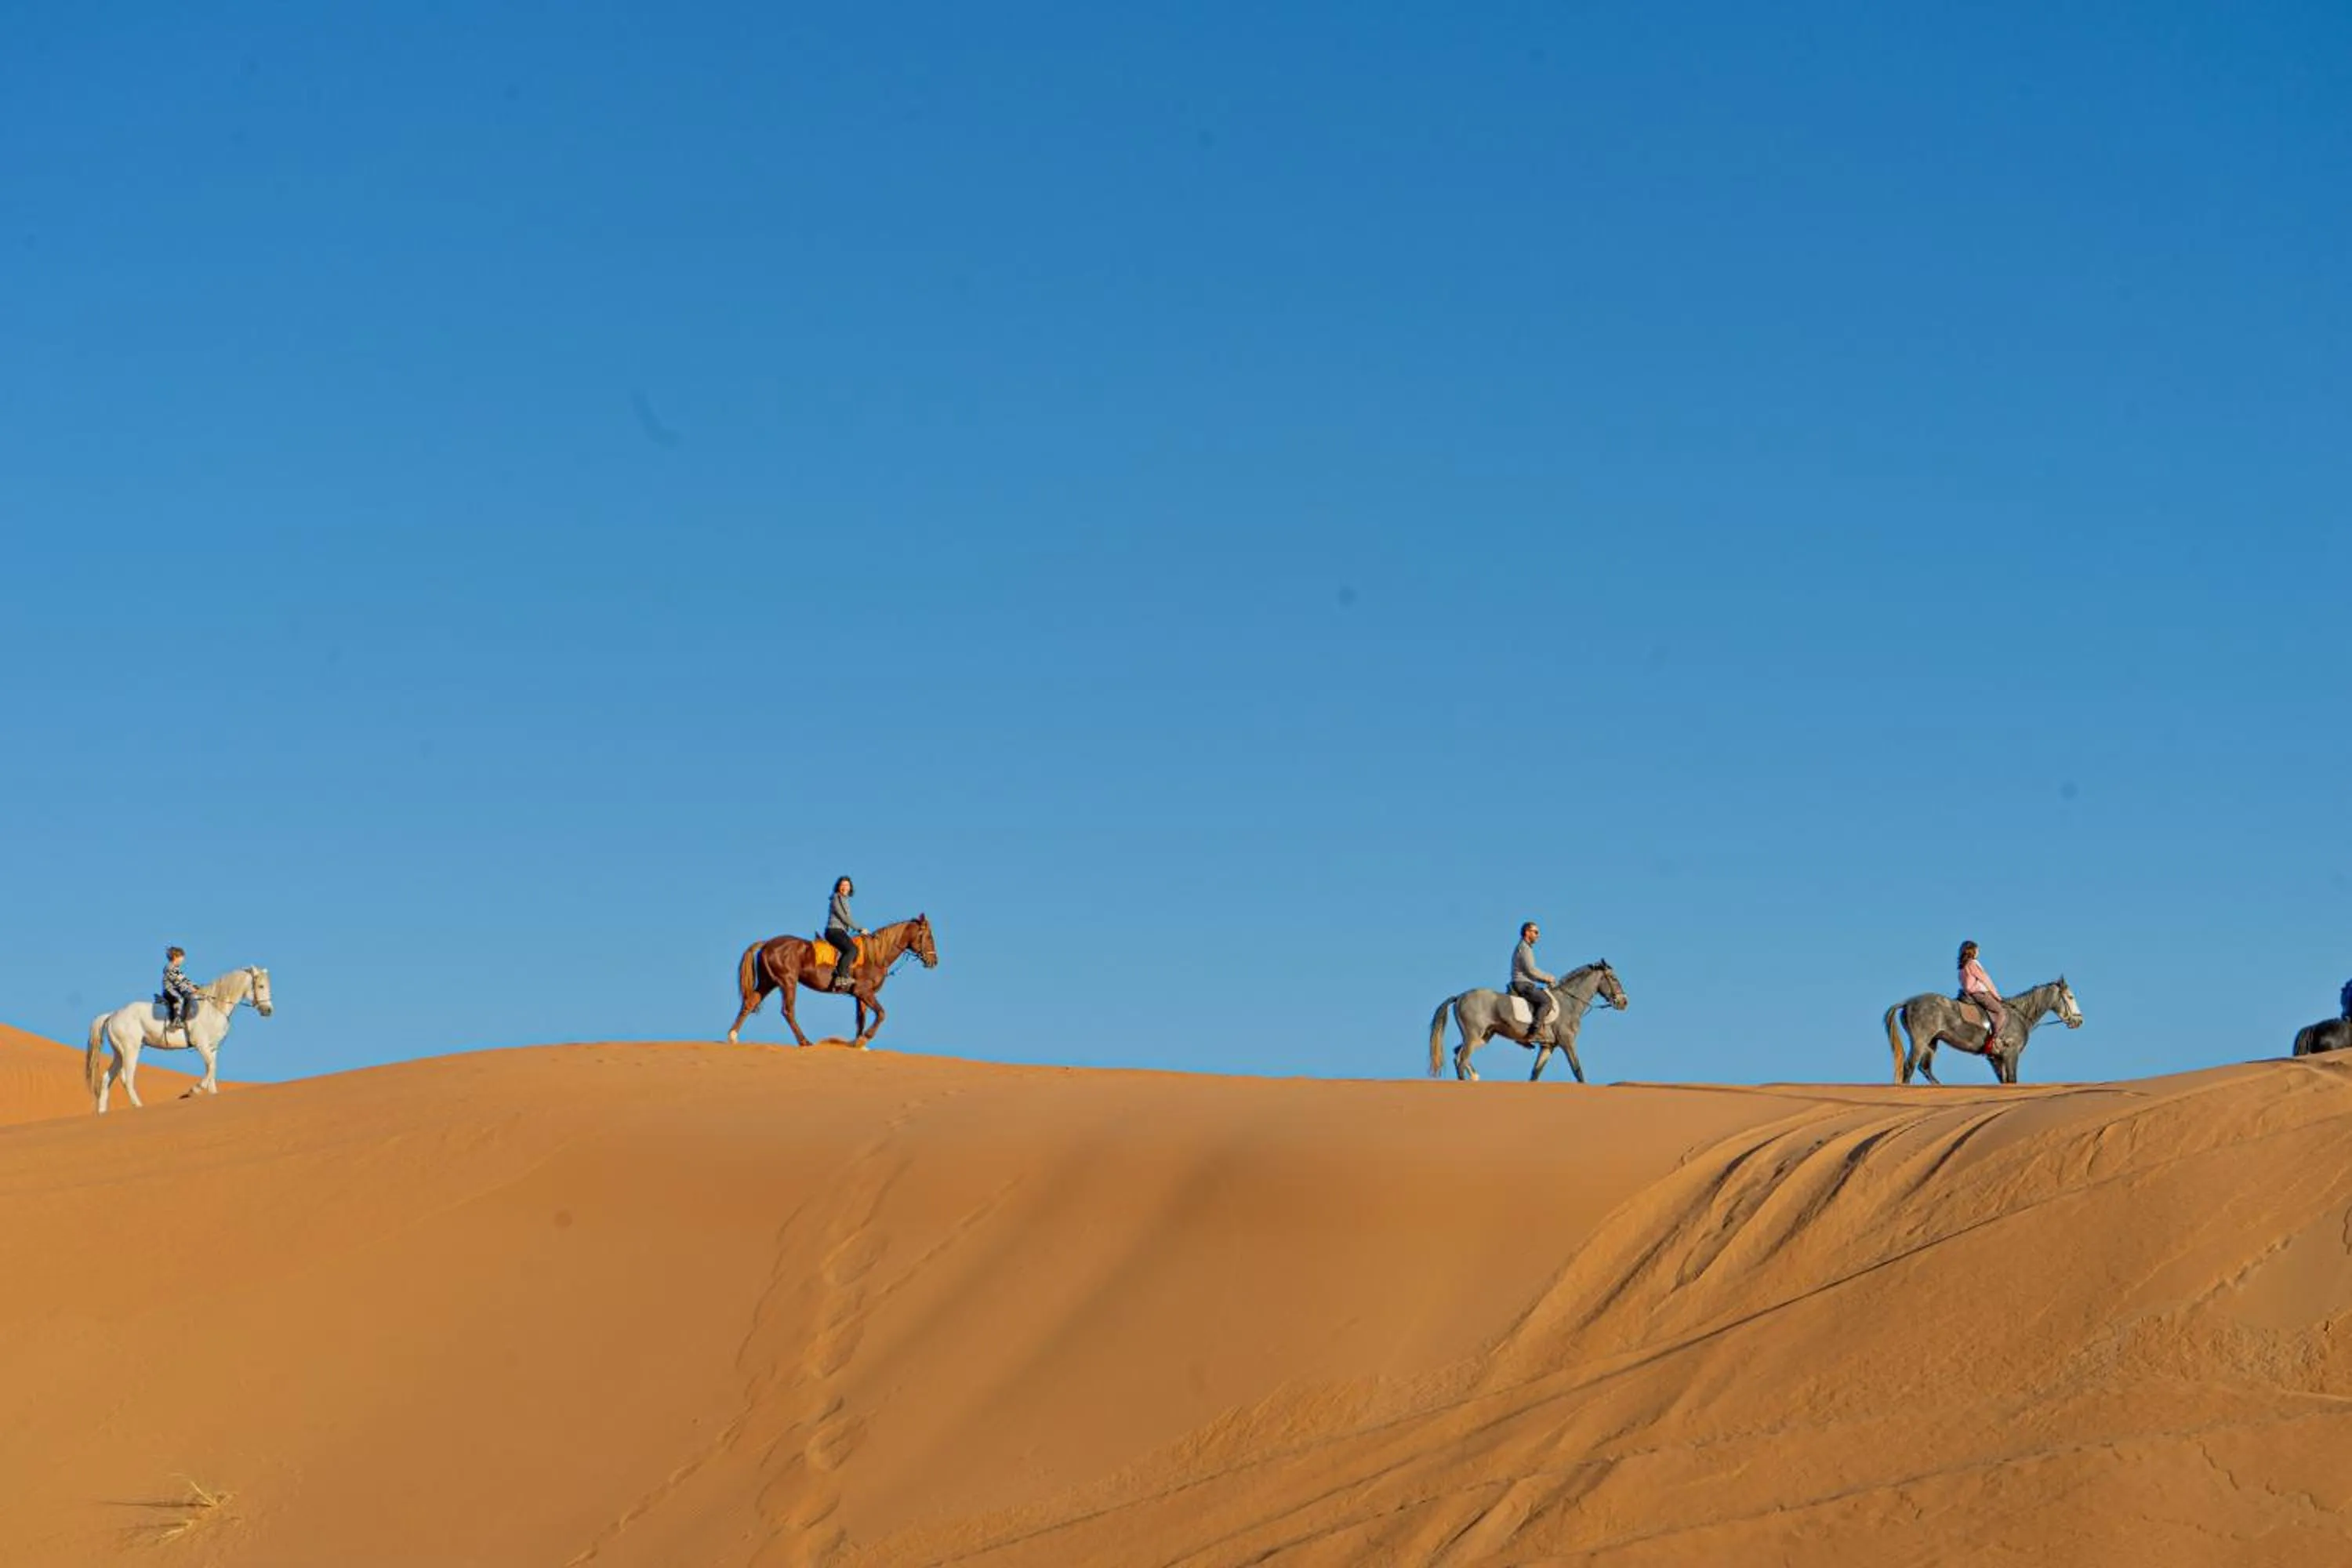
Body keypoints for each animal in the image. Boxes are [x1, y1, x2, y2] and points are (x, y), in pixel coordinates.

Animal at [85, 966, 273, 1114]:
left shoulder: (213, 1048)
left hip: (119, 1053)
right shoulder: (202, 1045)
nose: (268, 1010)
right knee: (127, 1078)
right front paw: (193, 1091)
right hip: (131, 1050)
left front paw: (213, 1095)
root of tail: (113, 1014)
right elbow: (211, 1068)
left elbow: (213, 1070)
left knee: (107, 1078)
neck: (214, 1008)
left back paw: (102, 1112)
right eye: (261, 986)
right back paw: (138, 1106)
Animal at [726, 914, 938, 1050]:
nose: (934, 961)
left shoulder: (860, 996)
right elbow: (881, 1014)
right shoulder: (864, 992)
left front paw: (857, 1044)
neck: (875, 955)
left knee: (750, 1002)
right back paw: (804, 1042)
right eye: (928, 936)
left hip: (768, 982)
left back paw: (733, 1037)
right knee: (788, 1011)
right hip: (787, 982)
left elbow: (861, 1019)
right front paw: (863, 1040)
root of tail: (767, 944)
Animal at [1427, 960, 1630, 1083]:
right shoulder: (1567, 1042)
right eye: (1613, 978)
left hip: (1483, 1037)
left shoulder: (1548, 1046)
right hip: (1473, 1036)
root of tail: (1460, 997)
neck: (1569, 1002)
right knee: (1461, 1059)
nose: (1623, 1002)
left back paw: (1476, 1077)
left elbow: (1535, 1074)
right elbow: (1577, 1070)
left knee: (1458, 1053)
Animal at [1883, 976, 2081, 1086]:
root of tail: (1908, 1002)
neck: (2019, 1014)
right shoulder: (2011, 1054)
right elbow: (2012, 1080)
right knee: (1909, 1067)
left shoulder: (1996, 1059)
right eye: (2070, 997)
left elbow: (2005, 1082)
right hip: (1920, 1040)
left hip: (1932, 1042)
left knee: (1925, 1068)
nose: (2079, 1020)